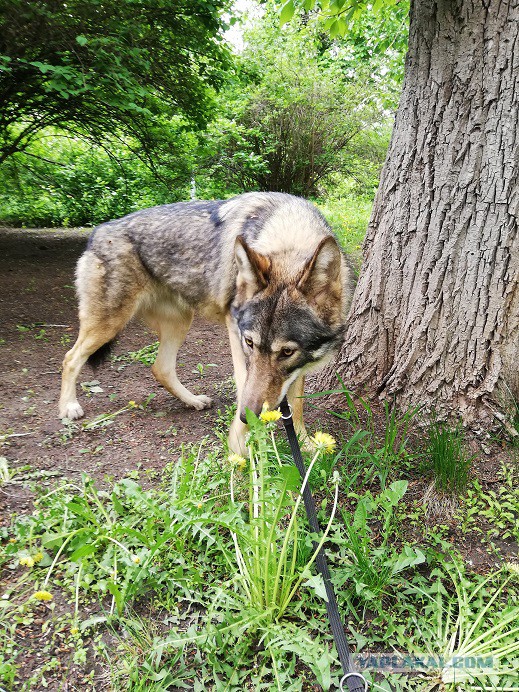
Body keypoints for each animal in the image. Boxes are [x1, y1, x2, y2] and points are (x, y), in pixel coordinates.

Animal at [59, 192, 354, 453]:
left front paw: (306, 445)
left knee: (160, 368)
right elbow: (244, 385)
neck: (288, 234)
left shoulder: (297, 367)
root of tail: (98, 232)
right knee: (70, 357)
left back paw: (193, 401)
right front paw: (239, 450)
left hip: (179, 323)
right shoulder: (235, 330)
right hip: (109, 324)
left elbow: (297, 404)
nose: (249, 417)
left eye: (287, 352)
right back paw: (68, 407)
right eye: (250, 342)